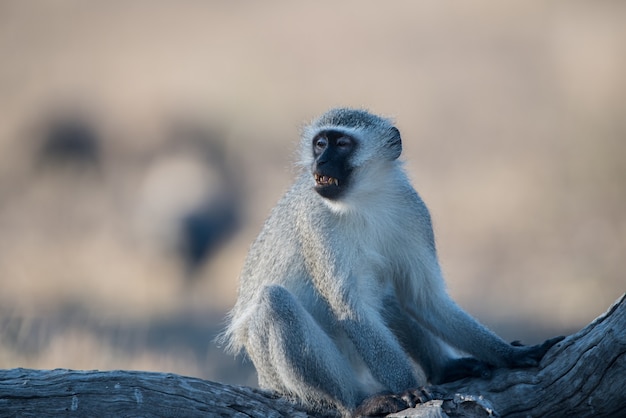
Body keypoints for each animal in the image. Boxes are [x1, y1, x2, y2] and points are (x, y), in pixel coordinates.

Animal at [222, 109, 564, 416]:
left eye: (341, 144)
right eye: (320, 144)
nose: (320, 162)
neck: (364, 199)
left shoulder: (412, 209)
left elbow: (423, 297)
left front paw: (510, 354)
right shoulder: (316, 222)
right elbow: (353, 310)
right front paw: (409, 389)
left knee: (391, 297)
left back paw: (444, 368)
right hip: (286, 380)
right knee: (275, 303)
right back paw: (356, 405)